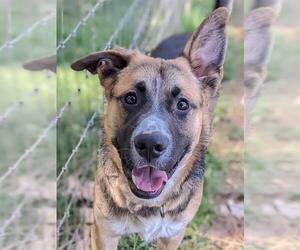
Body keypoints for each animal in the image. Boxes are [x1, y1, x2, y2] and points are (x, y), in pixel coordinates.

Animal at [71, 7, 229, 250]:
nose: (150, 144)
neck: (147, 204)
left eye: (182, 104)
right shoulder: (104, 233)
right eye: (131, 98)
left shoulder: (173, 235)